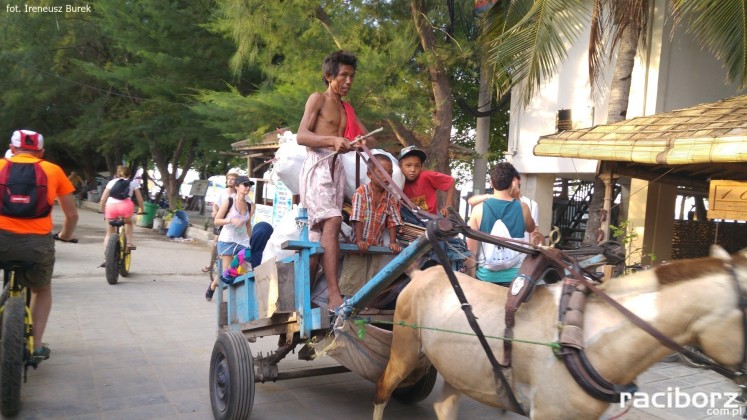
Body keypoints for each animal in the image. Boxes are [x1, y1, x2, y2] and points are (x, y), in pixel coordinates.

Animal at [374, 246, 747, 420]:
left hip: (458, 368)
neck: (583, 341)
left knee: (444, 406)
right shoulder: (548, 412)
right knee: (383, 390)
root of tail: (422, 273)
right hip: (405, 349)